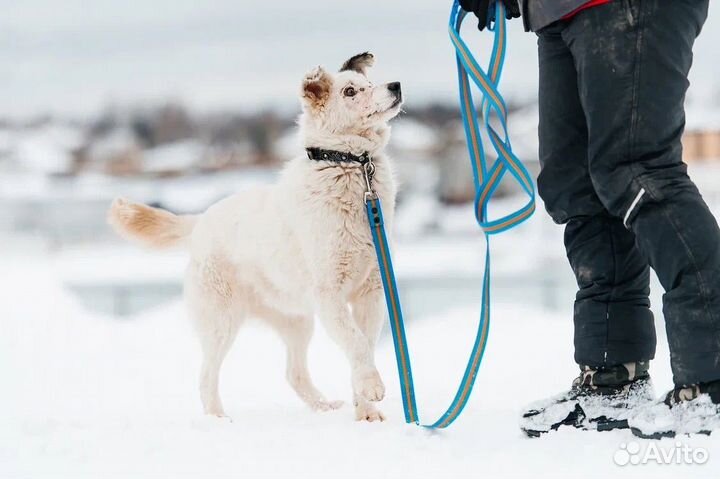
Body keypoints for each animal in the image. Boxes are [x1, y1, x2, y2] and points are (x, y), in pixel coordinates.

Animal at [111, 51, 404, 420]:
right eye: (350, 91)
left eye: (369, 83)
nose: (396, 86)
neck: (350, 165)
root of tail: (201, 222)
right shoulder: (330, 295)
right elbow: (357, 343)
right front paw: (371, 386)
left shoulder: (371, 292)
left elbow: (363, 345)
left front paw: (365, 412)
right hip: (222, 323)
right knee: (206, 377)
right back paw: (217, 419)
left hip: (297, 319)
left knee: (293, 373)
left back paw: (323, 407)